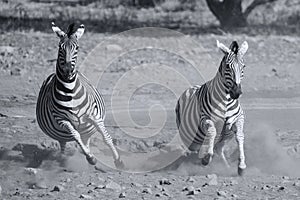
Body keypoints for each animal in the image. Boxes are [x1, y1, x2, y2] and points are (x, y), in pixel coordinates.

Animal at [35, 22, 123, 169]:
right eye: (60, 47)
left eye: (77, 47)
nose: (67, 71)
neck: (69, 90)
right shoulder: (62, 119)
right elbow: (76, 136)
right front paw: (91, 158)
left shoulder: (94, 116)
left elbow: (106, 137)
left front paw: (118, 161)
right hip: (62, 133)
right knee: (65, 144)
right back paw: (65, 160)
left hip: (86, 128)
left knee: (85, 140)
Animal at [176, 39, 248, 174]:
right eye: (227, 66)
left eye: (243, 66)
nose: (236, 92)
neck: (226, 101)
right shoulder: (205, 118)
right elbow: (212, 131)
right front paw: (206, 158)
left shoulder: (239, 118)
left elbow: (240, 136)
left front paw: (241, 165)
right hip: (190, 137)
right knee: (197, 147)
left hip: (225, 137)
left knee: (219, 149)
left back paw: (225, 166)